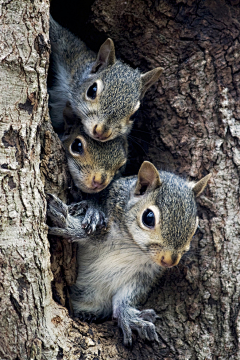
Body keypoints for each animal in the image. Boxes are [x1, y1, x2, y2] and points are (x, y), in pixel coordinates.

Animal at [47, 161, 212, 346]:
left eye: (195, 226)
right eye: (148, 217)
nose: (170, 261)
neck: (133, 246)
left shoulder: (144, 274)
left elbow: (126, 297)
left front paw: (129, 317)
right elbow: (89, 231)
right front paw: (67, 222)